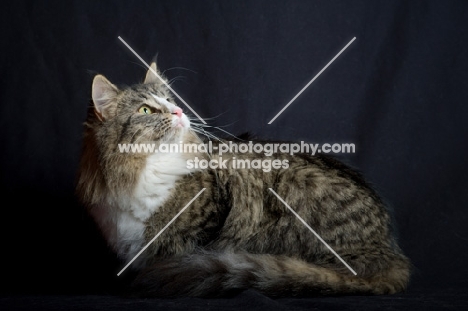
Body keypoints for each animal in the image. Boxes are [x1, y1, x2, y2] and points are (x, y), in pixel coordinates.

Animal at [76, 62, 410, 298]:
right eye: (146, 110)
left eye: (169, 99)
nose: (179, 110)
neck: (145, 171)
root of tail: (389, 250)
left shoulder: (209, 220)